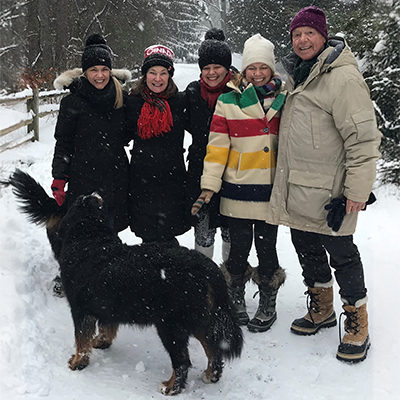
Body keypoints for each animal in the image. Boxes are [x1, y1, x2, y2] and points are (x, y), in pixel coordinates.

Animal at [3, 170, 244, 396]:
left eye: (85, 200)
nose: (95, 191)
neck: (90, 239)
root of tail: (207, 268)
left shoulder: (80, 309)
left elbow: (81, 339)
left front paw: (77, 362)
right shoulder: (106, 305)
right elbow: (106, 328)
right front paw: (101, 342)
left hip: (171, 324)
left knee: (183, 362)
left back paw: (171, 387)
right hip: (199, 319)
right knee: (213, 348)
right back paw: (211, 375)